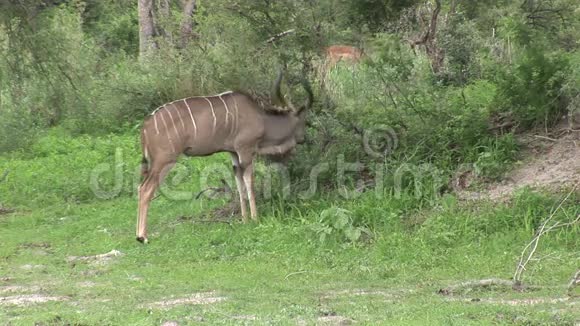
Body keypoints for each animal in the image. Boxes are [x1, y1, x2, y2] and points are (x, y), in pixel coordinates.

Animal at [136, 72, 312, 244]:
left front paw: (244, 219)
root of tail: (145, 126)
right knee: (145, 188)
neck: (262, 119)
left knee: (140, 187)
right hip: (164, 160)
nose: (303, 138)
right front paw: (255, 219)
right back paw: (142, 237)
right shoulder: (246, 151)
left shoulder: (233, 154)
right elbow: (249, 182)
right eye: (304, 121)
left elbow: (239, 184)